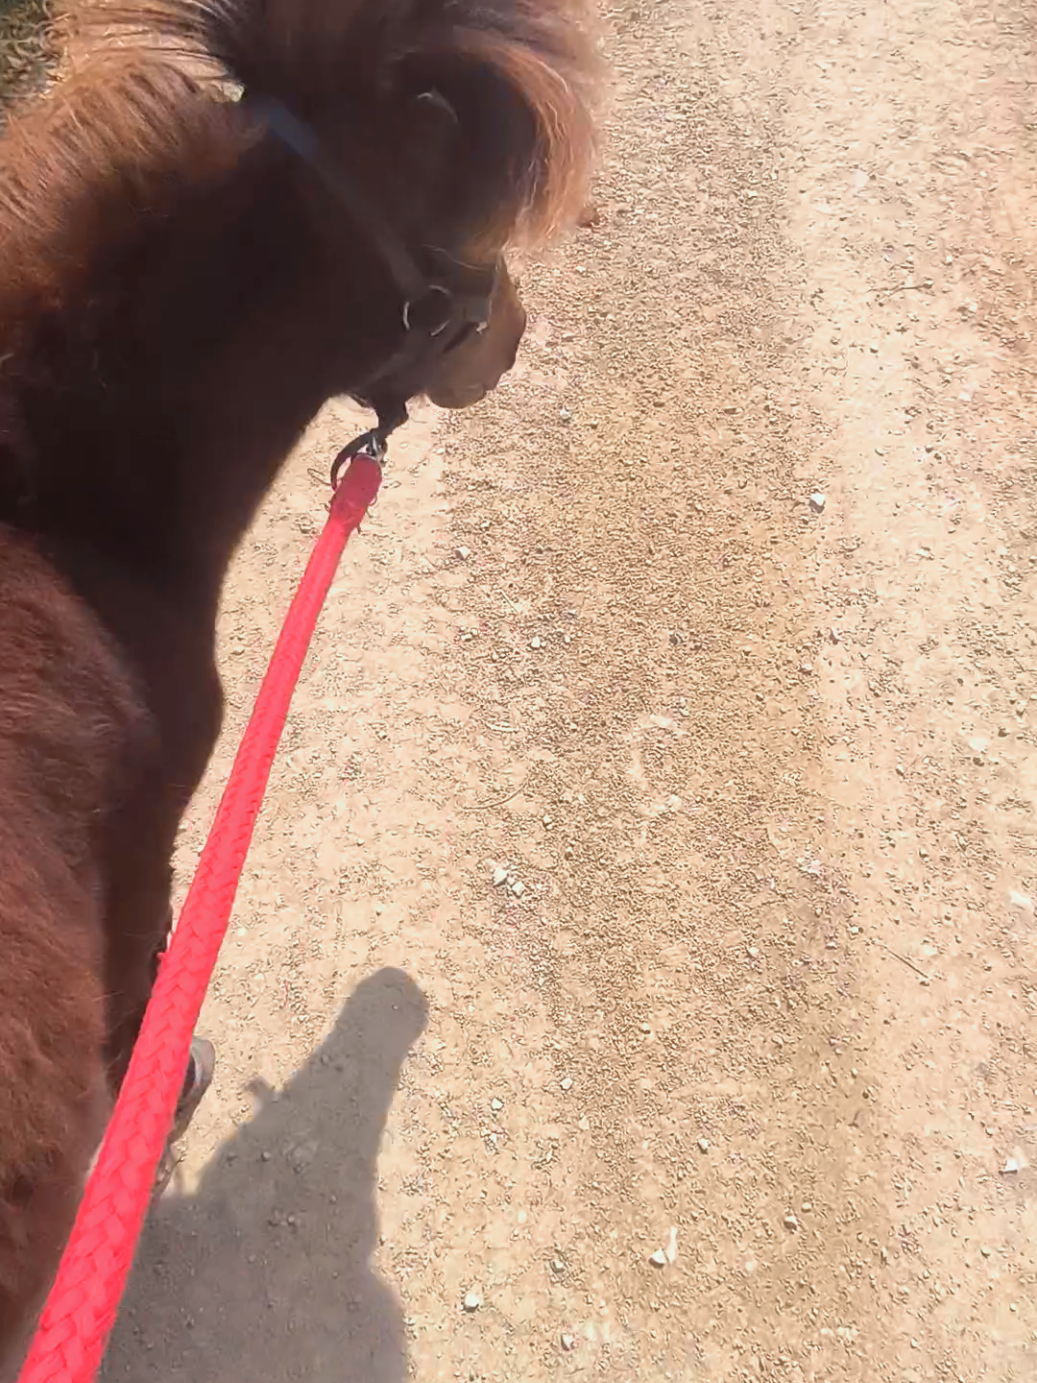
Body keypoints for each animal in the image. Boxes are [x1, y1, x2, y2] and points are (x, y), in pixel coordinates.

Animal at [0, 0, 595, 1359]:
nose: (515, 337)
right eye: (460, 226)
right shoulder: (143, 848)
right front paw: (168, 1088)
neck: (57, 518)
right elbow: (147, 984)